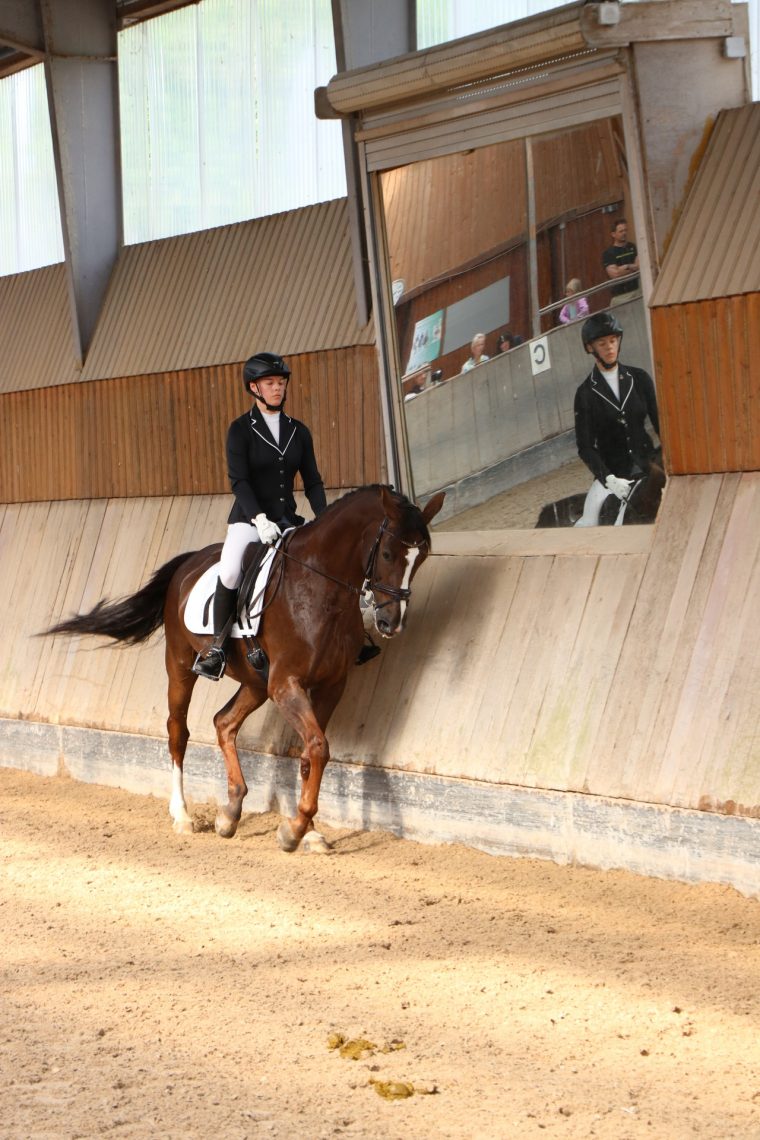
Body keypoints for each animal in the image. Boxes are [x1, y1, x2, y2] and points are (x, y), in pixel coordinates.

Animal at [44, 485, 446, 852]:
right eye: (389, 553)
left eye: (422, 557)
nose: (391, 623)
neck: (320, 590)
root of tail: (190, 562)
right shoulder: (286, 684)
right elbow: (317, 747)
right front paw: (294, 830)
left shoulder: (331, 685)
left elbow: (310, 753)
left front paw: (309, 831)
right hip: (181, 665)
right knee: (178, 731)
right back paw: (183, 815)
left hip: (255, 682)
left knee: (224, 722)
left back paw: (231, 812)